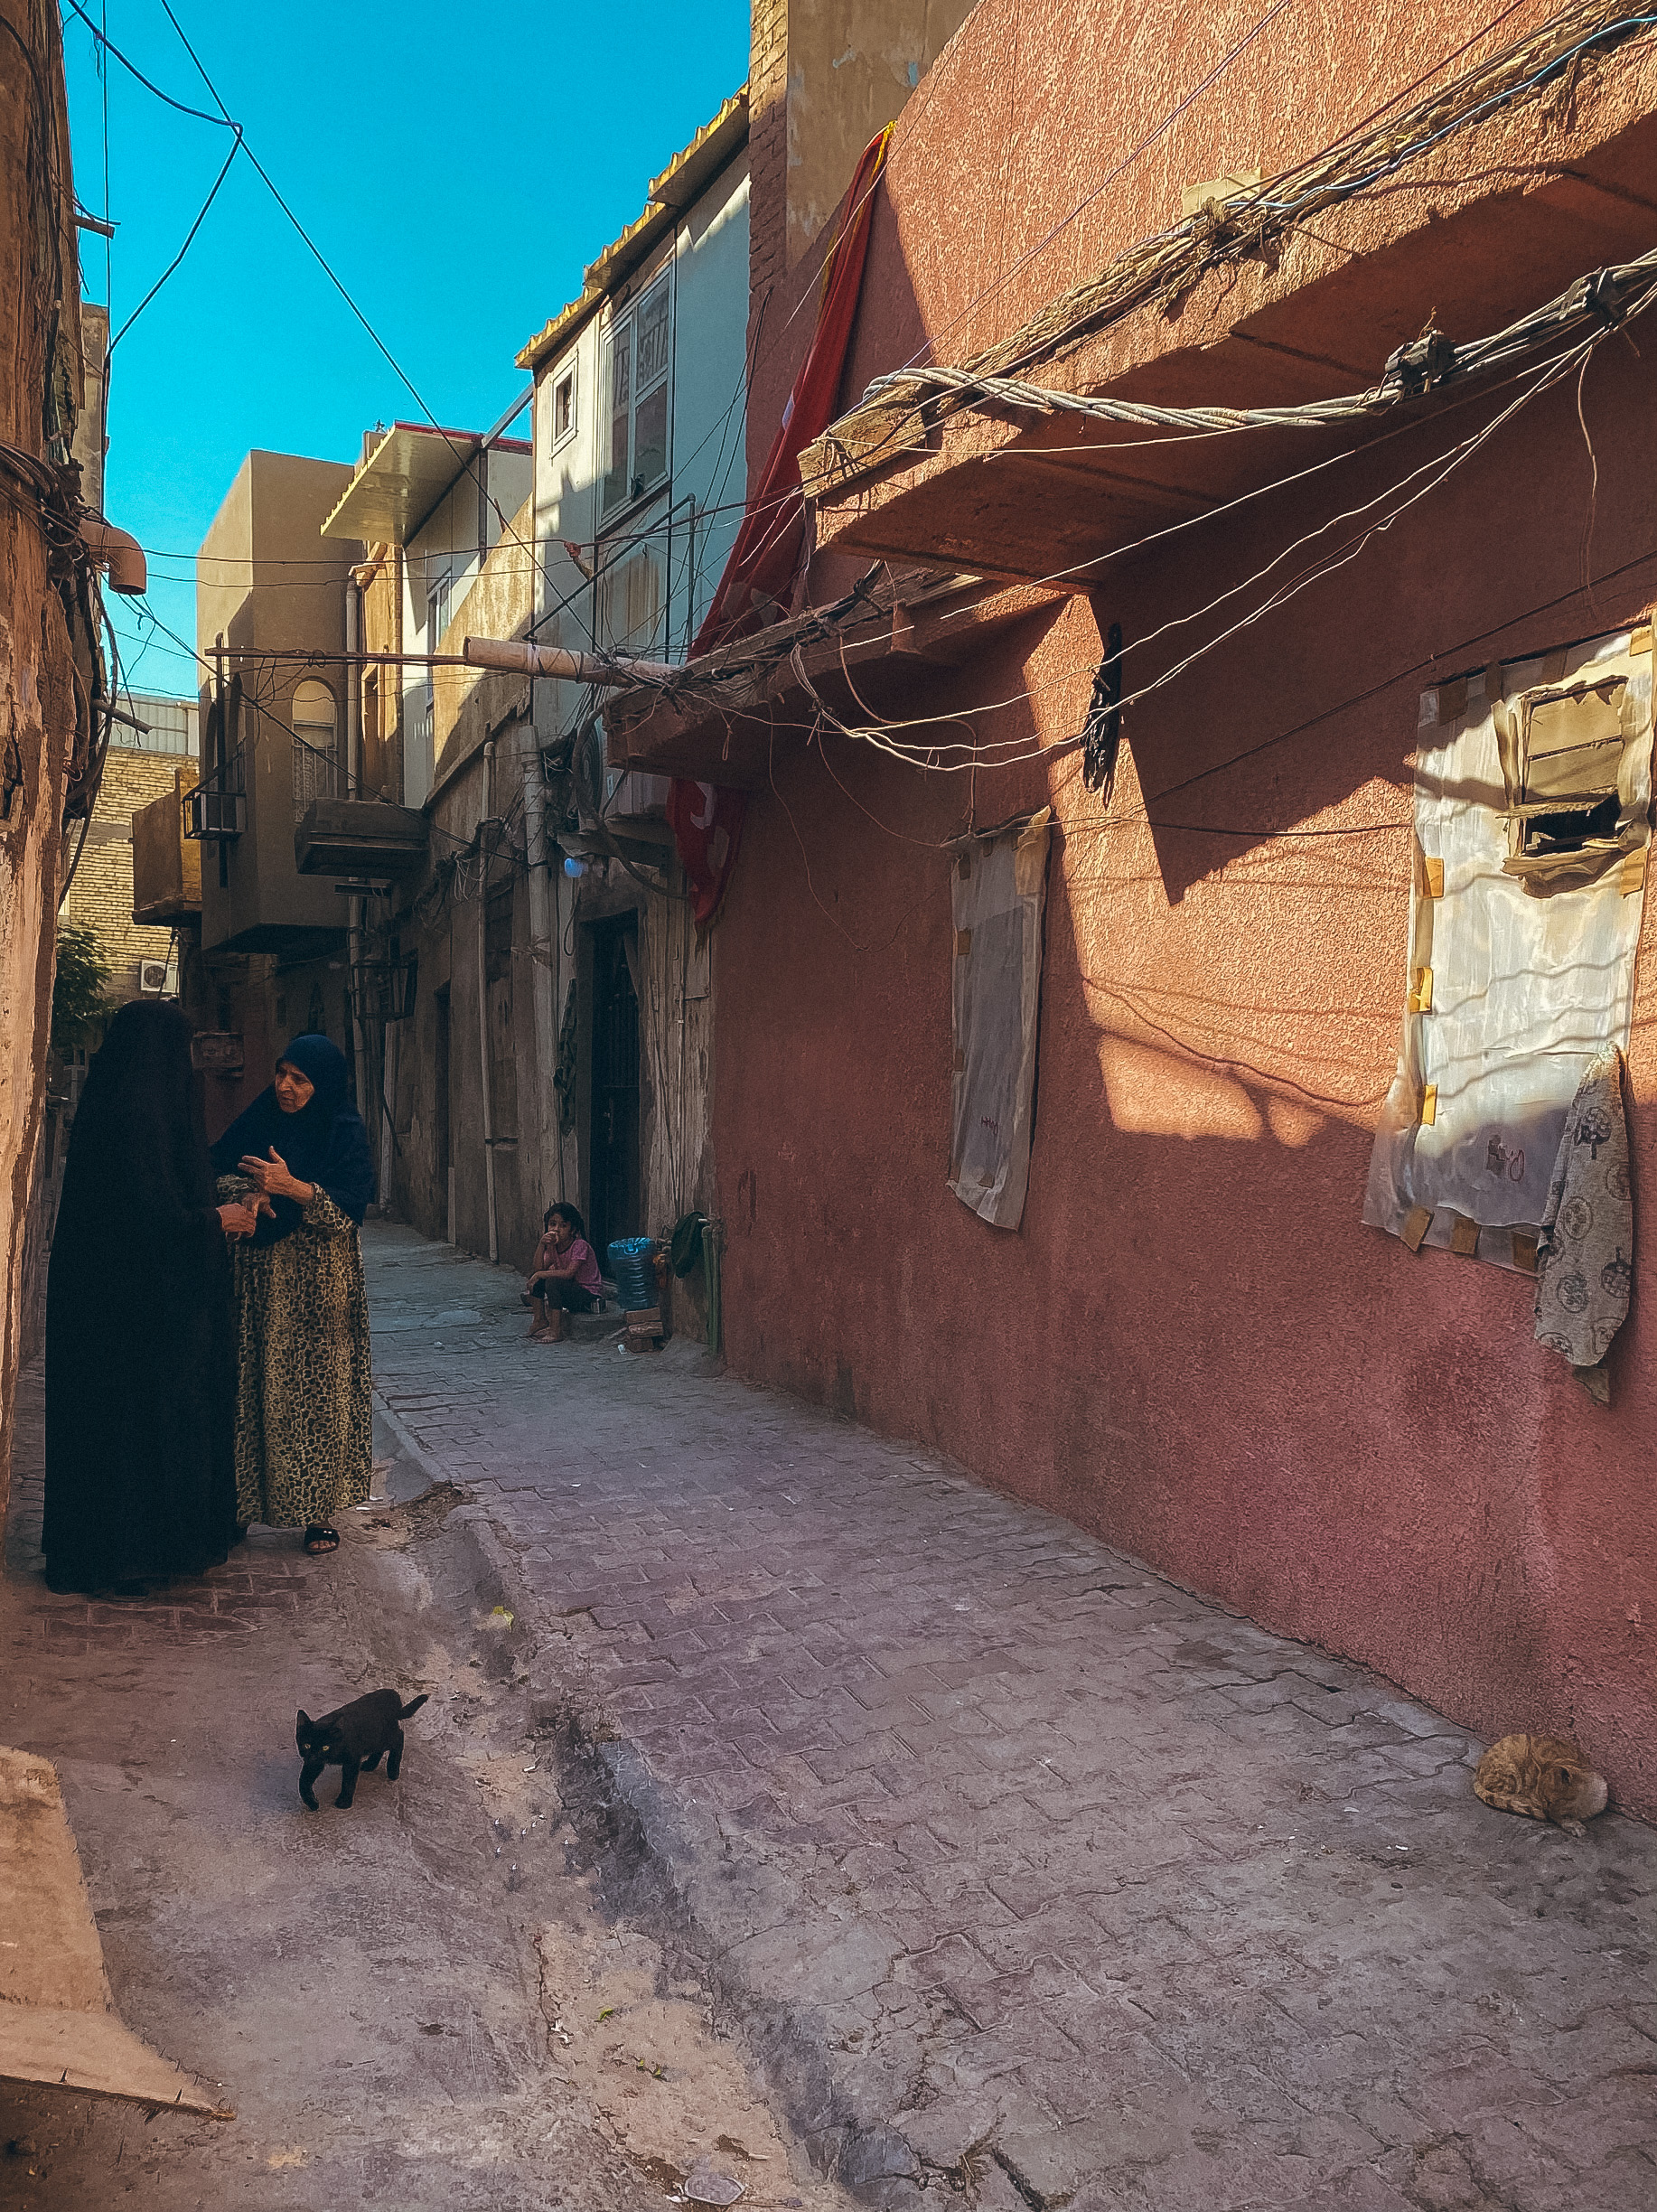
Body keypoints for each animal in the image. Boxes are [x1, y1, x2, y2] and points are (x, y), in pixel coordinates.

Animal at [296, 1681, 426, 1804]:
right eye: (307, 1745)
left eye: (325, 1747)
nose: (314, 1756)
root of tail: (393, 1694)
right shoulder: (314, 1762)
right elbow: (303, 1781)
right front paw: (311, 1802)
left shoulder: (352, 1759)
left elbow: (349, 1781)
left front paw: (344, 1802)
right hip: (374, 1738)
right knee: (382, 1748)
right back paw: (370, 1764)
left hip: (384, 1736)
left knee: (399, 1737)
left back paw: (393, 1770)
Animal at [1477, 1734, 1601, 1840]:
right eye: (1545, 1801)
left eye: (1550, 1802)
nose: (1546, 1814)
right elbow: (1561, 1818)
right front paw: (1574, 1825)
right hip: (1511, 1772)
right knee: (1501, 1794)